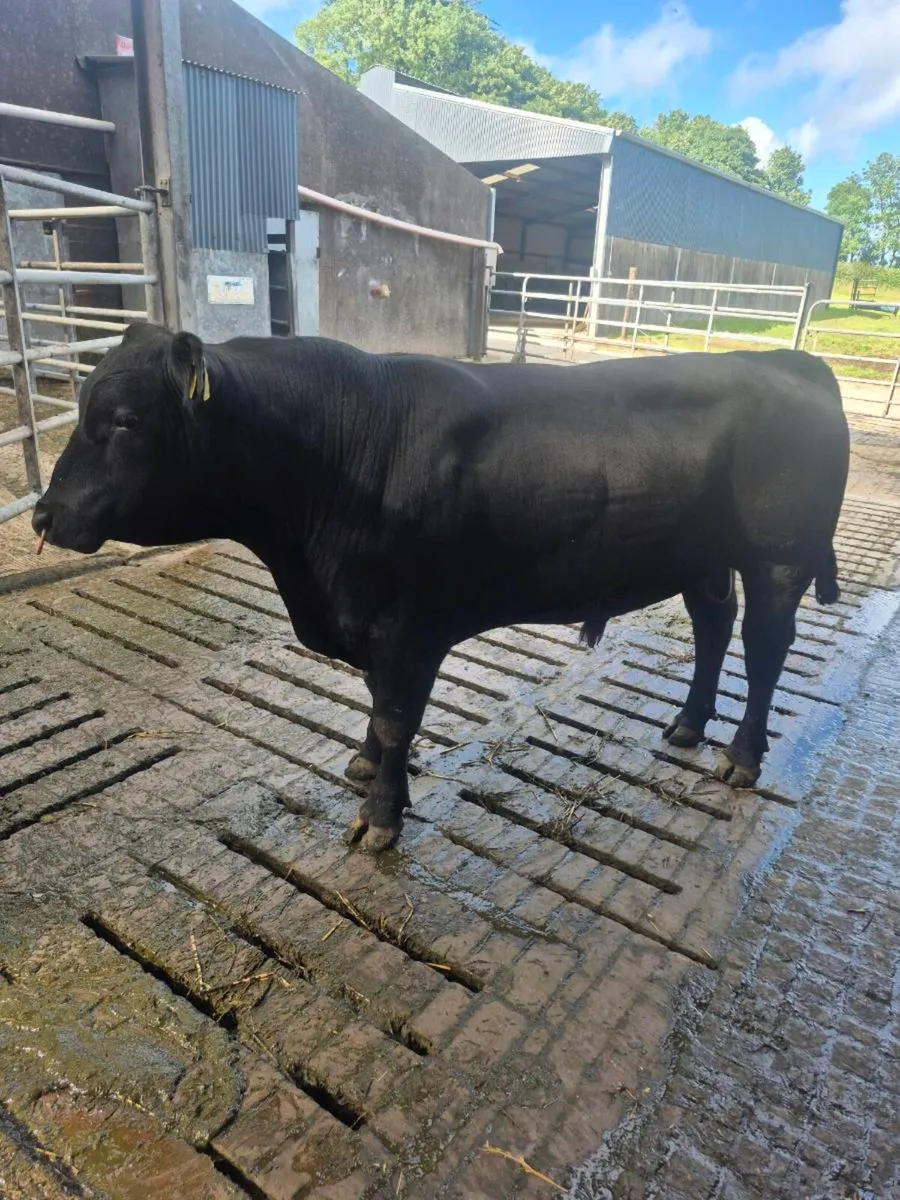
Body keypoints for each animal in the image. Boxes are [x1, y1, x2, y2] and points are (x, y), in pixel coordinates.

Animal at [33, 325, 849, 851]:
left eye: (126, 419)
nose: (43, 514)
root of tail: (785, 359)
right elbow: (378, 710)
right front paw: (368, 768)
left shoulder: (408, 626)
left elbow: (398, 718)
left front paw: (379, 818)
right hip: (703, 558)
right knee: (714, 626)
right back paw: (686, 724)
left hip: (779, 559)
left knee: (764, 647)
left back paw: (741, 756)